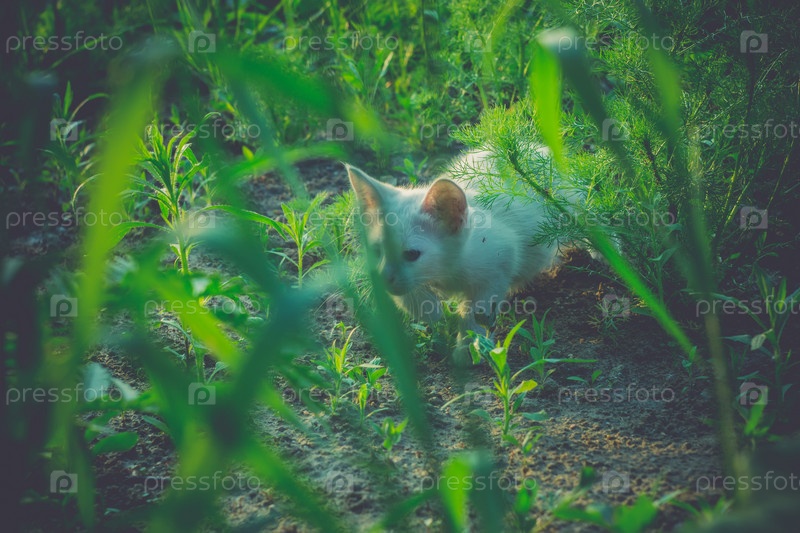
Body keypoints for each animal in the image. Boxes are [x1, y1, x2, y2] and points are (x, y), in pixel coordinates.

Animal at [346, 149, 561, 362]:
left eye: (411, 254)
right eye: (376, 251)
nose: (383, 278)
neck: (447, 270)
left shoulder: (499, 261)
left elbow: (476, 312)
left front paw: (470, 347)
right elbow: (408, 296)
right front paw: (430, 310)